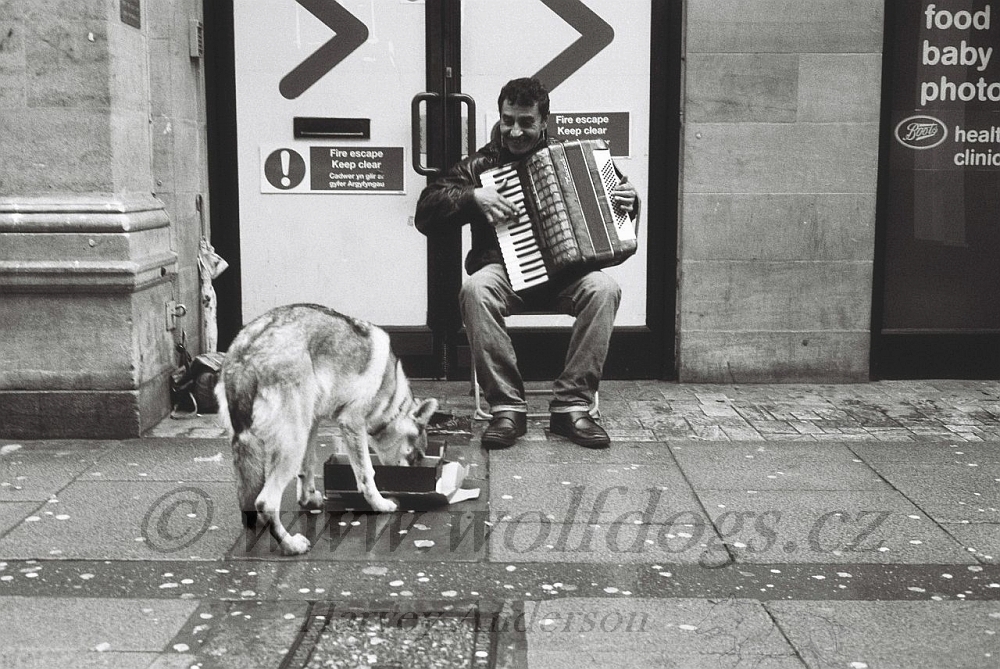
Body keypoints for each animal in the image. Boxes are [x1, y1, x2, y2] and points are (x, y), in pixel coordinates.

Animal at [215, 302, 438, 552]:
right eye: (416, 456)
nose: (416, 481)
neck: (390, 397)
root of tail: (245, 355)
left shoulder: (313, 423)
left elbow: (308, 467)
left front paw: (308, 499)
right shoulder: (352, 424)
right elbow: (367, 474)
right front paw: (380, 505)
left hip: (286, 436)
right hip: (292, 443)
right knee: (265, 502)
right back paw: (291, 545)